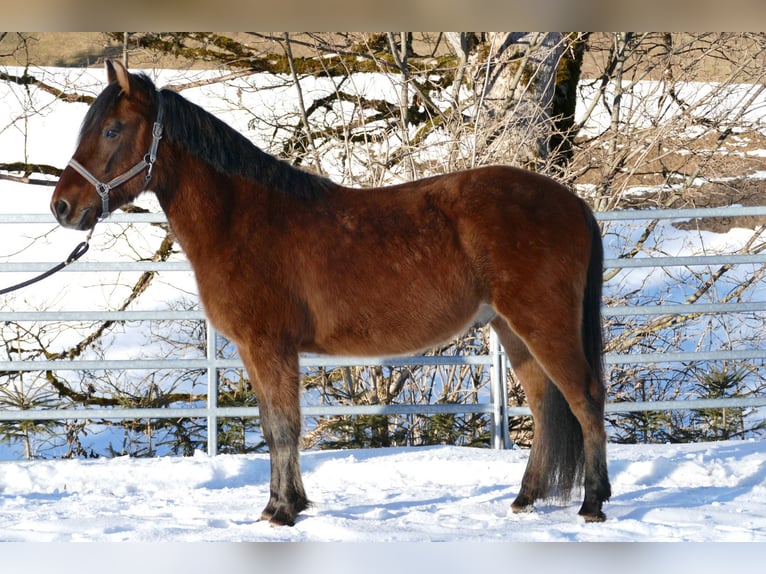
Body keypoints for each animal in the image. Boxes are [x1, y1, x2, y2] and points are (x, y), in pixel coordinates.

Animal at [49, 60, 612, 528]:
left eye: (112, 130)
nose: (62, 207)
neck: (243, 220)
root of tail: (573, 203)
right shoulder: (255, 351)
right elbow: (273, 426)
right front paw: (283, 504)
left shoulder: (270, 347)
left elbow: (283, 428)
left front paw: (281, 512)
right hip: (511, 329)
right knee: (543, 404)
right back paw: (525, 498)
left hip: (544, 323)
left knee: (584, 399)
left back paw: (592, 503)